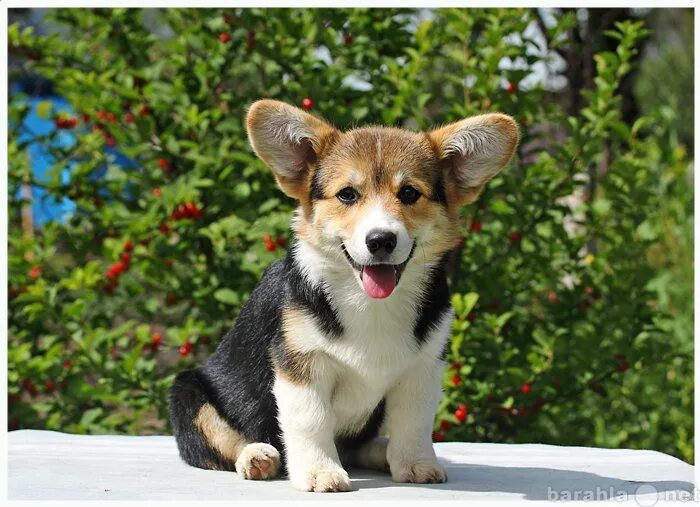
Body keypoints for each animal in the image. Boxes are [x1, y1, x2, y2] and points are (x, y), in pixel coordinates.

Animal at [170, 99, 520, 492]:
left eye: (409, 193)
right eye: (347, 195)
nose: (381, 240)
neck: (371, 304)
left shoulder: (423, 367)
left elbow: (414, 422)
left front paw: (415, 464)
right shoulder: (300, 363)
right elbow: (311, 420)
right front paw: (319, 472)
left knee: (359, 446)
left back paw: (382, 452)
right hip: (188, 393)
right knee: (223, 442)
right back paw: (257, 457)